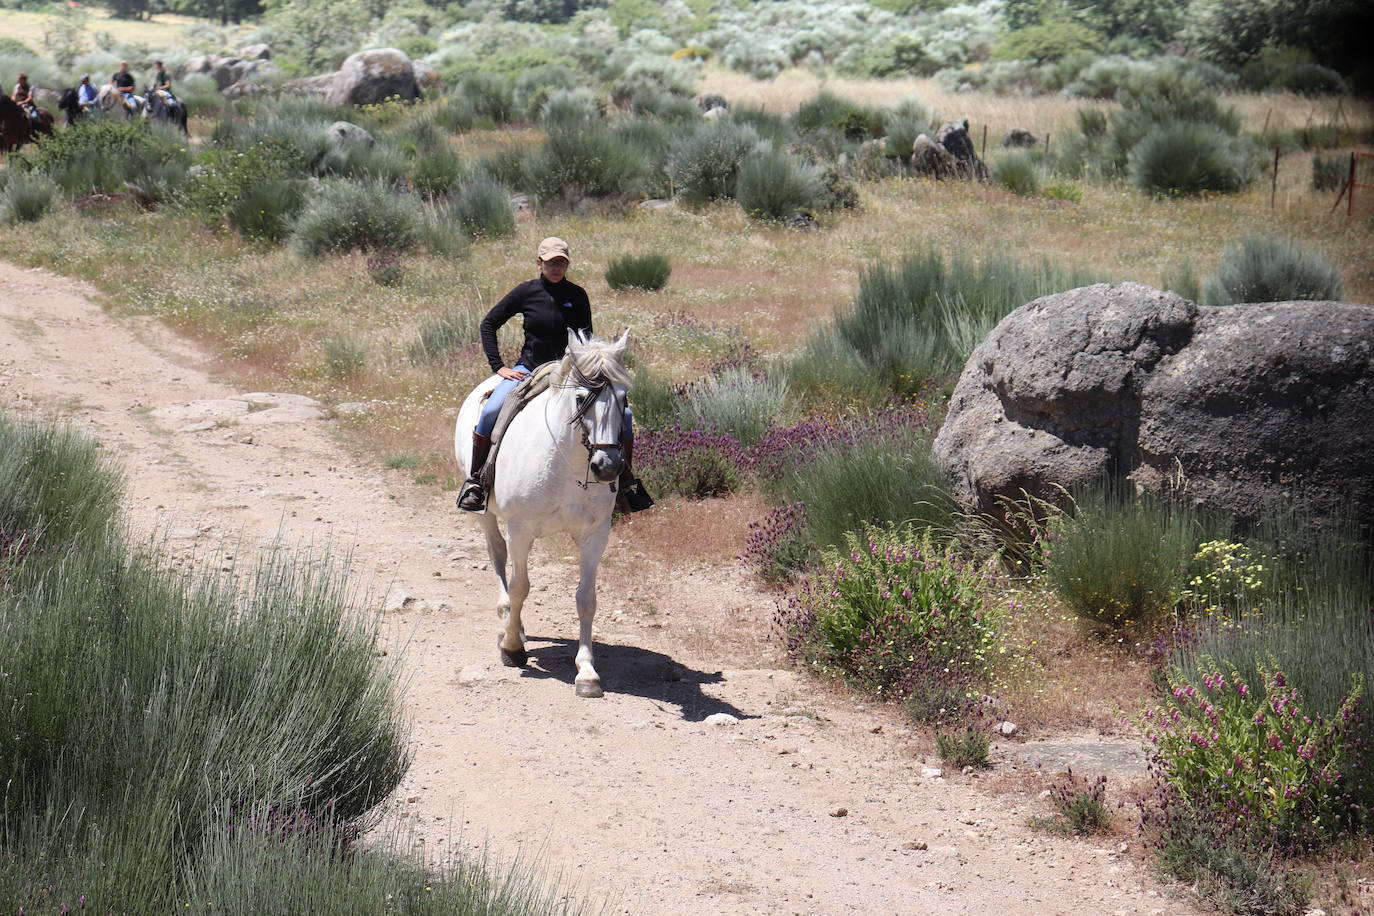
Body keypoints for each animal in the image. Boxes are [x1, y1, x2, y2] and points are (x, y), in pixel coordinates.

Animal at [458, 333, 634, 697]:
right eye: (580, 397)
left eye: (623, 398)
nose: (608, 467)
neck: (567, 464)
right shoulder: (520, 530)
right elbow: (520, 586)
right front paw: (512, 648)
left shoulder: (595, 535)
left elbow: (586, 599)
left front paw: (587, 673)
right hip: (487, 515)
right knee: (498, 558)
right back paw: (507, 624)